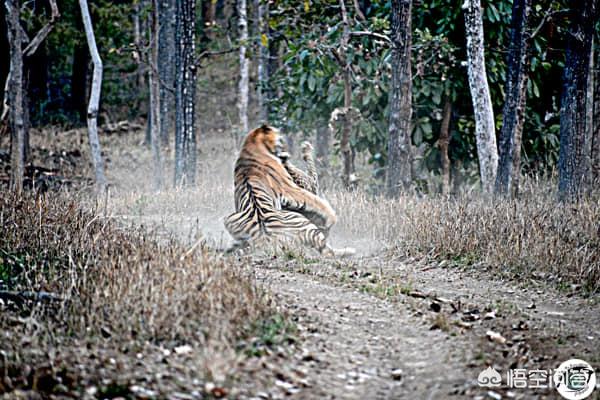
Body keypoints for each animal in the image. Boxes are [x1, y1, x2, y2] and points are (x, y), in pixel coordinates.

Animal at [224, 125, 352, 255]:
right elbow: (317, 200)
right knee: (326, 250)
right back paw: (348, 250)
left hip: (228, 219)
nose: (284, 142)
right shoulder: (290, 188)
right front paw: (332, 218)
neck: (252, 144)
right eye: (279, 136)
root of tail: (267, 240)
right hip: (302, 221)